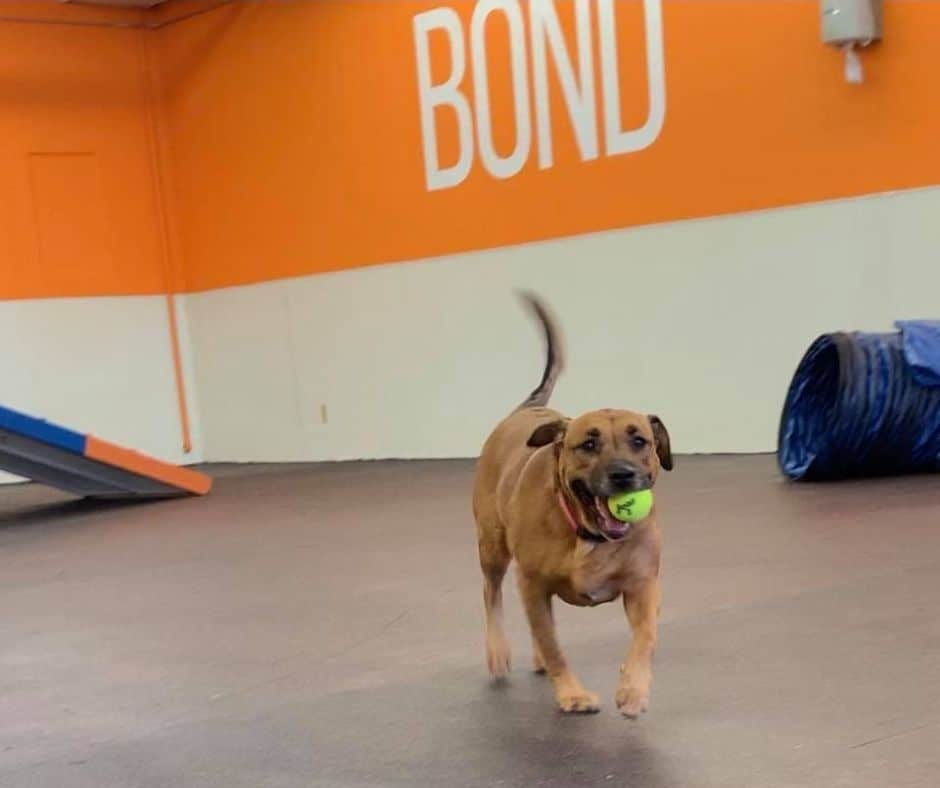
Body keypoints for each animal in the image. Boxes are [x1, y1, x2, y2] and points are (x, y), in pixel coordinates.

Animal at [474, 292, 672, 716]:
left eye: (640, 441)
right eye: (589, 444)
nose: (623, 475)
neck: (588, 534)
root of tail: (525, 409)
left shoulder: (643, 585)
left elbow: (645, 637)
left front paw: (633, 689)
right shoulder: (533, 583)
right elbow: (554, 646)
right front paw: (571, 693)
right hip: (492, 546)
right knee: (492, 593)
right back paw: (498, 650)